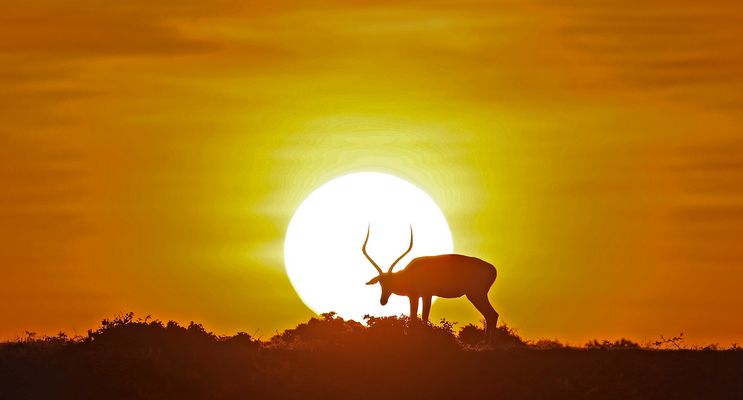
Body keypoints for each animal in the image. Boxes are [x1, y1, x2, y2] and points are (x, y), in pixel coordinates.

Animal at [362, 224, 499, 339]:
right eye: (381, 283)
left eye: (391, 281)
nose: (383, 301)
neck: (409, 274)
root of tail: (493, 269)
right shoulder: (419, 296)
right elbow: (417, 316)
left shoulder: (423, 295)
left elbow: (420, 317)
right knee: (491, 315)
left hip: (475, 294)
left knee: (492, 314)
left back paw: (486, 343)